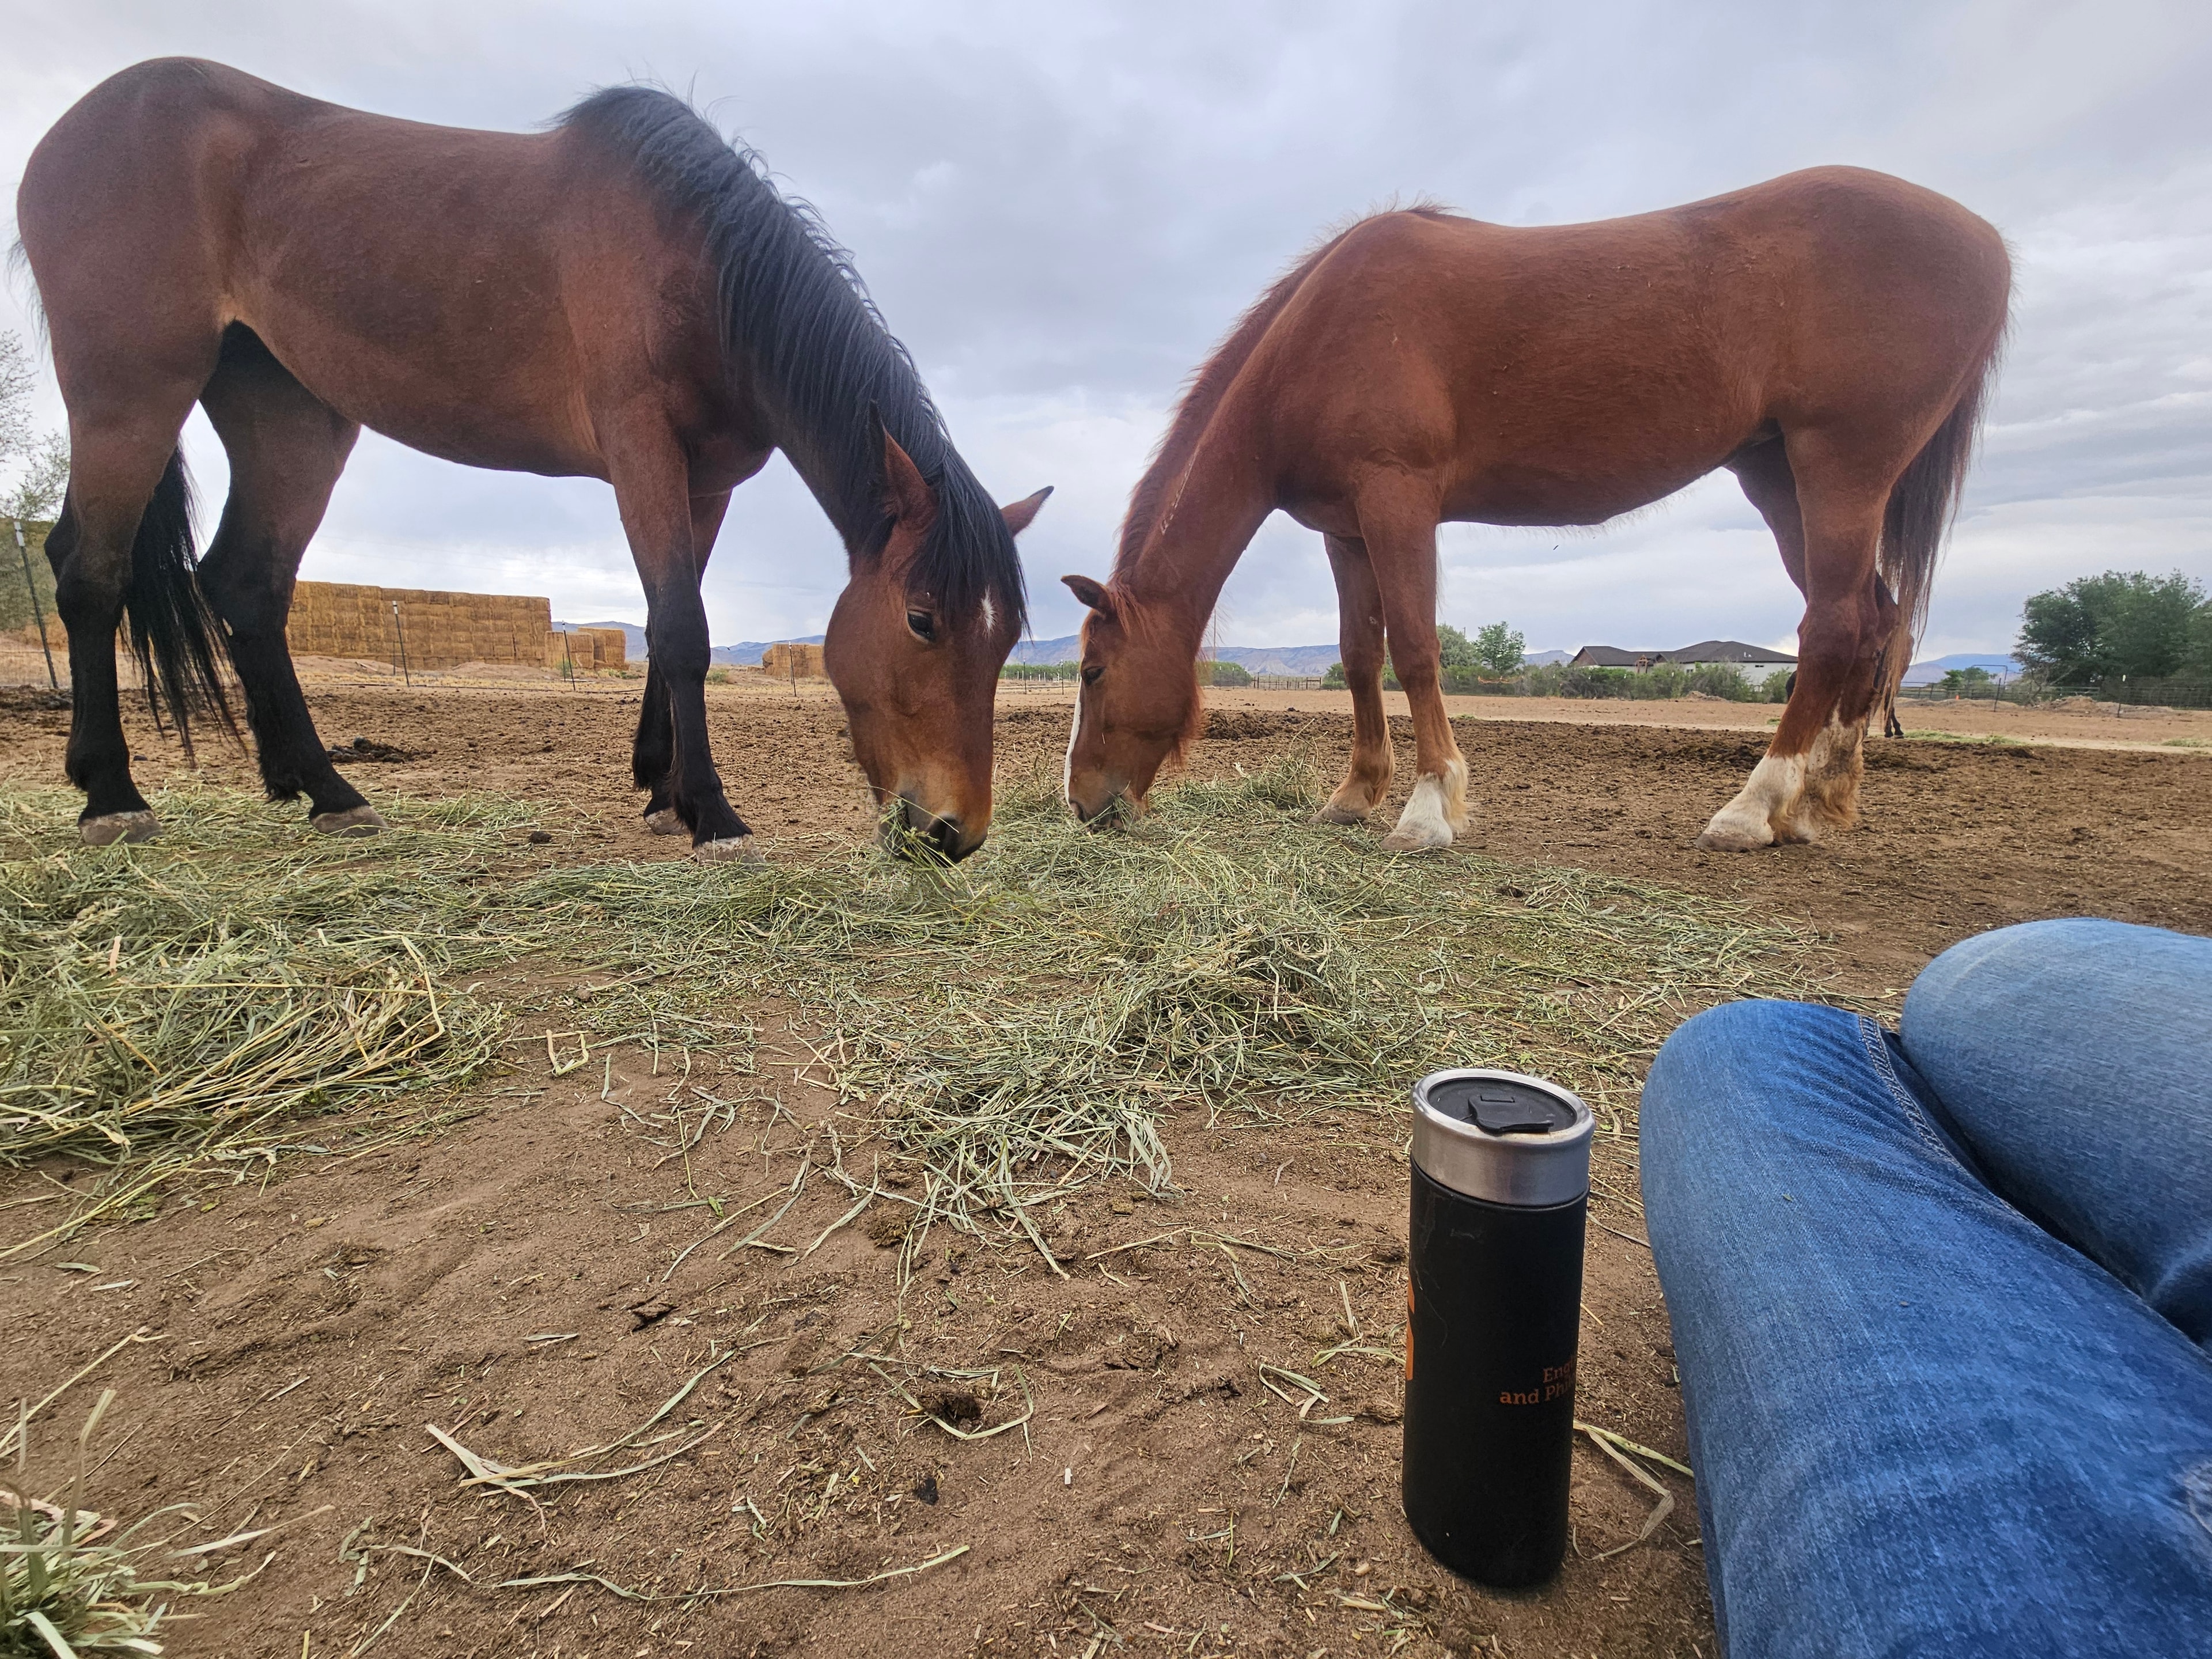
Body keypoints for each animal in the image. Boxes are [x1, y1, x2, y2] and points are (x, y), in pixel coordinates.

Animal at [16, 59, 1048, 861]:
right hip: (130, 390)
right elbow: (684, 628)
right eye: (922, 620)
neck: (699, 267)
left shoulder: (704, 479)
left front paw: (661, 789)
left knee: (246, 585)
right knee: (91, 571)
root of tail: (70, 131)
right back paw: (114, 798)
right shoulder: (639, 446)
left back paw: (325, 791)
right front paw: (713, 813)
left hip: (290, 414)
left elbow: (664, 620)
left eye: (1006, 639)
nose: (954, 833)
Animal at [1059, 168, 2008, 851]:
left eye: (1094, 672)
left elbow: (1415, 649)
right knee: (1874, 622)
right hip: (1778, 477)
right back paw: (1817, 804)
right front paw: (1354, 795)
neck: (1320, 338)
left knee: (1835, 626)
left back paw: (1751, 808)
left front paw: (1427, 811)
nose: (1080, 803)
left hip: (1840, 465)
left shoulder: (1398, 499)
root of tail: (1985, 239)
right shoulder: (1345, 529)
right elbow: (1360, 657)